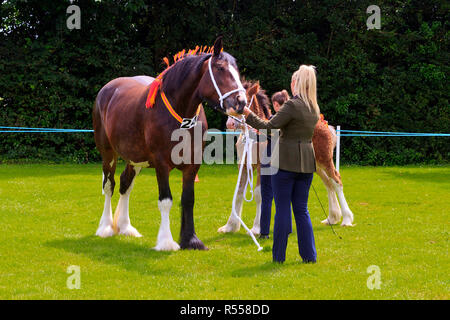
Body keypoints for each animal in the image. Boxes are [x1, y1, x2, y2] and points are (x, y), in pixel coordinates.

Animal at [92, 38, 246, 250]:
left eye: (237, 70)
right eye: (220, 68)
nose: (241, 102)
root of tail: (107, 89)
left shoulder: (192, 164)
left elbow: (188, 199)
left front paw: (191, 240)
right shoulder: (161, 163)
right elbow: (165, 200)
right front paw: (166, 241)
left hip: (135, 159)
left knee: (125, 184)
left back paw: (125, 227)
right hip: (108, 153)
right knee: (109, 185)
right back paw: (105, 227)